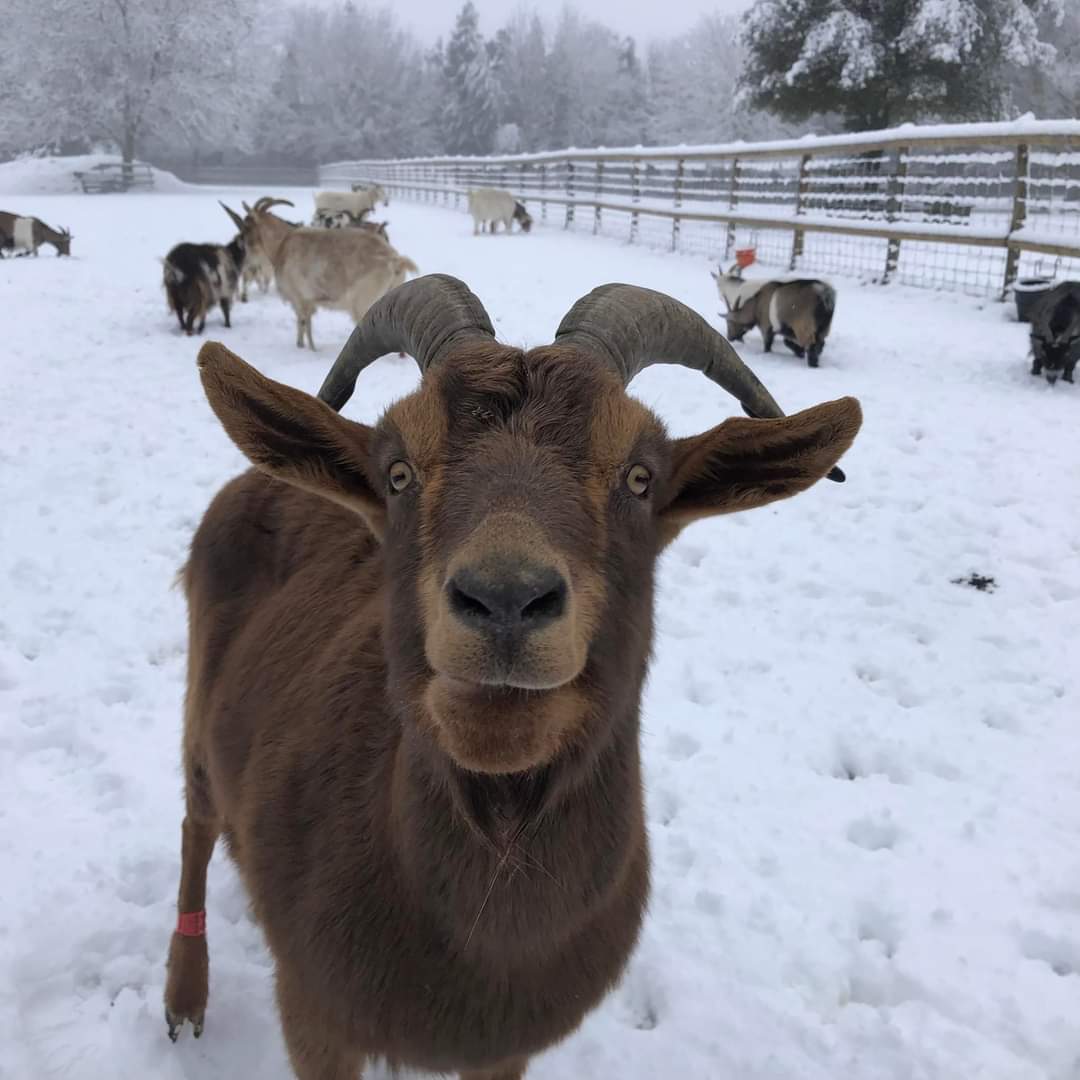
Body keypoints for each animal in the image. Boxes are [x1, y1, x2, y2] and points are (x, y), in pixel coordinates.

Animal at [162, 203, 246, 335]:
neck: (232, 256)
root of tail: (176, 268)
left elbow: (205, 314)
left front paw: (202, 328)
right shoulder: (224, 291)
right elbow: (225, 311)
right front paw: (227, 327)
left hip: (175, 295)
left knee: (180, 316)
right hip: (195, 294)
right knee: (189, 319)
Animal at [163, 274, 861, 1079]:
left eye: (640, 477)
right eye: (397, 473)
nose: (504, 599)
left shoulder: (505, 1047)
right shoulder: (313, 1014)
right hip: (200, 712)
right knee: (196, 821)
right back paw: (184, 994)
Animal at [238, 196, 418, 350]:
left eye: (247, 225)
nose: (245, 248)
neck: (283, 243)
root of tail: (395, 259)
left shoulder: (299, 298)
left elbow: (302, 322)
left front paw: (303, 347)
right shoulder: (309, 300)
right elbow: (308, 323)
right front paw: (310, 347)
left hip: (365, 304)